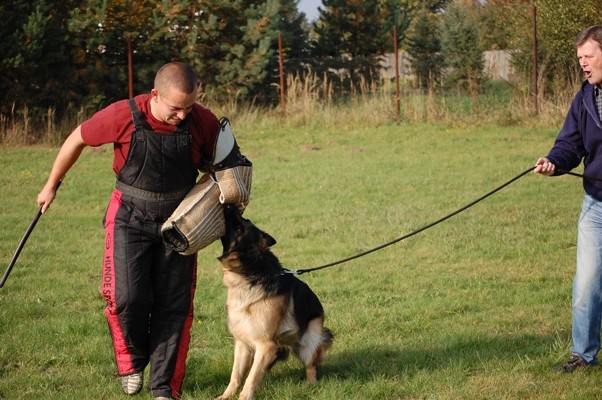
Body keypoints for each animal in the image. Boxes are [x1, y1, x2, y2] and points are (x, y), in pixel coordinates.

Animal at [215, 204, 333, 400]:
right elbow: (236, 375)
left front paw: (244, 397)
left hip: (309, 342)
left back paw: (311, 385)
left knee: (311, 366)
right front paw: (226, 396)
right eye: (245, 220)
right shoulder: (242, 344)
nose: (229, 205)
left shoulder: (265, 345)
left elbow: (251, 378)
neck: (252, 272)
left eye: (240, 229)